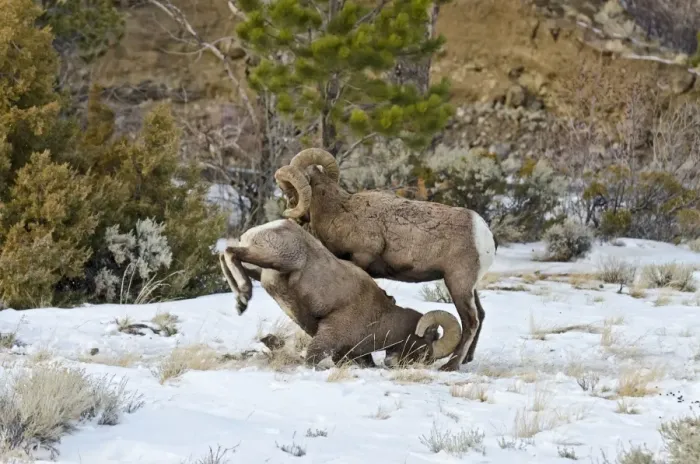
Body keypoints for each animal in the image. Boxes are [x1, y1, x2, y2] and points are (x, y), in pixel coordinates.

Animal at [218, 218, 461, 368]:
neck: (381, 318)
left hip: (262, 269)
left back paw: (240, 300)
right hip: (281, 259)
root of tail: (270, 226)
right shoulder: (327, 340)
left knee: (225, 255)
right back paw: (244, 296)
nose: (425, 362)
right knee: (230, 252)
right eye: (428, 341)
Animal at [272, 148, 497, 371]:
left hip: (458, 284)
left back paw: (450, 366)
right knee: (481, 315)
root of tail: (483, 233)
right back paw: (467, 359)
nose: (292, 211)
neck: (339, 210)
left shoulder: (361, 258)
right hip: (469, 288)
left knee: (471, 322)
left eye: (288, 188)